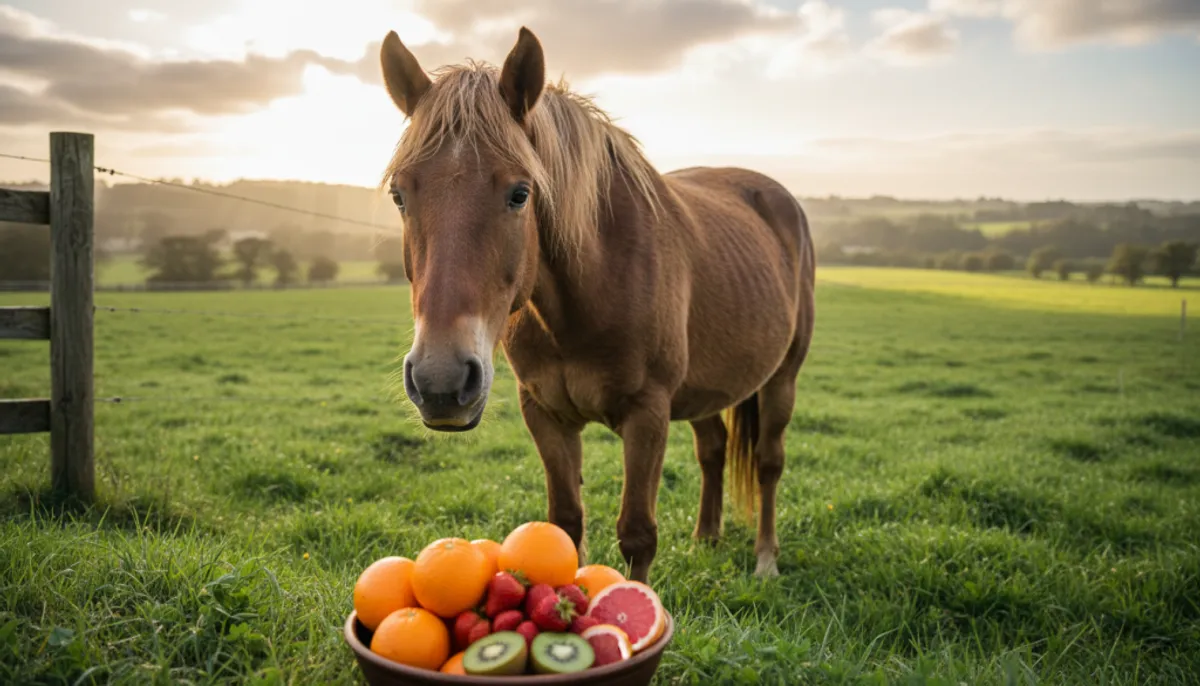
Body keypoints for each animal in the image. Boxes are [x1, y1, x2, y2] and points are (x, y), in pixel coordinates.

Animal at [377, 26, 815, 583]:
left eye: (520, 193)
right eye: (399, 195)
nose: (441, 382)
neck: (583, 300)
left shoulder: (647, 413)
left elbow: (638, 534)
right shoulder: (545, 412)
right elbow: (565, 523)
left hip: (783, 379)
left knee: (768, 461)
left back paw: (765, 560)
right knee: (712, 448)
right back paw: (706, 539)